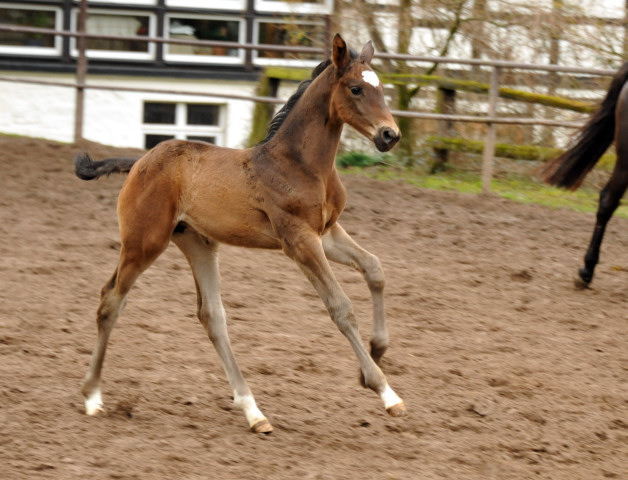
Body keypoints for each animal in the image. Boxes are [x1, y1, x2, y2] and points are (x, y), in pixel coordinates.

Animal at [75, 33, 408, 432]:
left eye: (382, 88)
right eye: (356, 88)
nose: (390, 135)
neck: (300, 164)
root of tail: (140, 161)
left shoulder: (326, 232)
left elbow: (375, 268)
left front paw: (377, 351)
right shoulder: (300, 240)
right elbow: (340, 306)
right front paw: (385, 391)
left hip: (198, 243)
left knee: (212, 316)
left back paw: (253, 412)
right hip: (144, 242)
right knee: (111, 300)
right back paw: (93, 397)